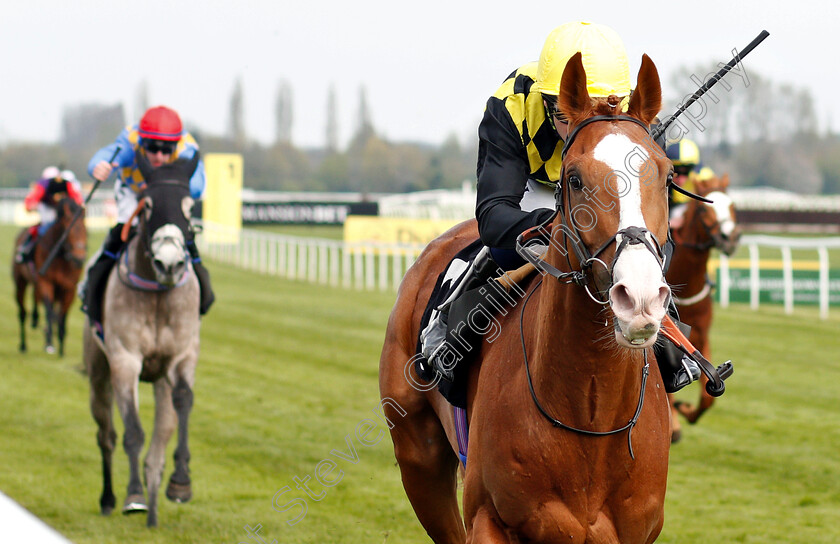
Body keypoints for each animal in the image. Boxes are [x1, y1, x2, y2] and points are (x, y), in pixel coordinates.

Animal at [11, 198, 86, 354]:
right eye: (69, 232)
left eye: (85, 231)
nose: (79, 259)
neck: (60, 256)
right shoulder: (45, 281)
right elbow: (49, 312)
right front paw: (50, 343)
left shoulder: (69, 288)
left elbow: (62, 316)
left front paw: (61, 347)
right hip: (20, 282)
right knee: (22, 312)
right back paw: (23, 345)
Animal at [85, 151, 202, 524]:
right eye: (147, 204)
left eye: (189, 206)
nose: (170, 263)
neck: (157, 295)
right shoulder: (125, 360)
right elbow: (133, 432)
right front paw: (133, 496)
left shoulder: (182, 357)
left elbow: (183, 401)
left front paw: (181, 483)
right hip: (98, 372)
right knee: (106, 435)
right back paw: (110, 498)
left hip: (160, 380)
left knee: (159, 443)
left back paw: (153, 512)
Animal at [380, 53, 676, 540]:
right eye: (574, 179)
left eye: (667, 176)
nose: (639, 297)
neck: (590, 416)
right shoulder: (489, 519)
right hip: (418, 458)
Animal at [668, 172, 740, 440]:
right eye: (702, 208)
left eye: (732, 205)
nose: (730, 238)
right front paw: (674, 424)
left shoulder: (701, 335)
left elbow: (709, 397)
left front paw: (686, 410)